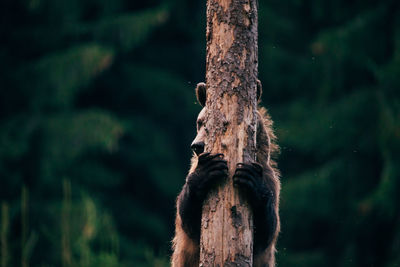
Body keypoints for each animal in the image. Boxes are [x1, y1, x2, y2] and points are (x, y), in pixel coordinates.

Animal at [172, 82, 282, 267]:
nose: (197, 145)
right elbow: (189, 220)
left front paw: (250, 178)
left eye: (206, 123)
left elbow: (265, 234)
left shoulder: (271, 181)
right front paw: (207, 171)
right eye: (200, 122)